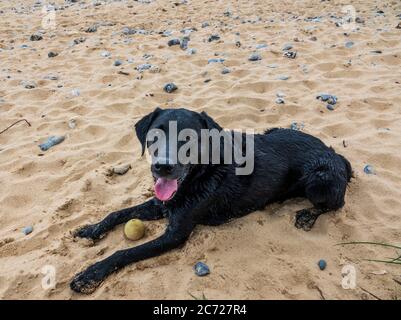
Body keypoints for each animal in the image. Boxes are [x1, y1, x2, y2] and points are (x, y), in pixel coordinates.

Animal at [70, 109, 352, 294]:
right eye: (156, 134)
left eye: (189, 137)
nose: (163, 167)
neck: (200, 175)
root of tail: (335, 153)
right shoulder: (162, 205)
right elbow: (117, 213)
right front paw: (91, 229)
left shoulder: (175, 234)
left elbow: (125, 252)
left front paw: (90, 274)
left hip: (319, 179)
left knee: (335, 203)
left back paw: (307, 216)